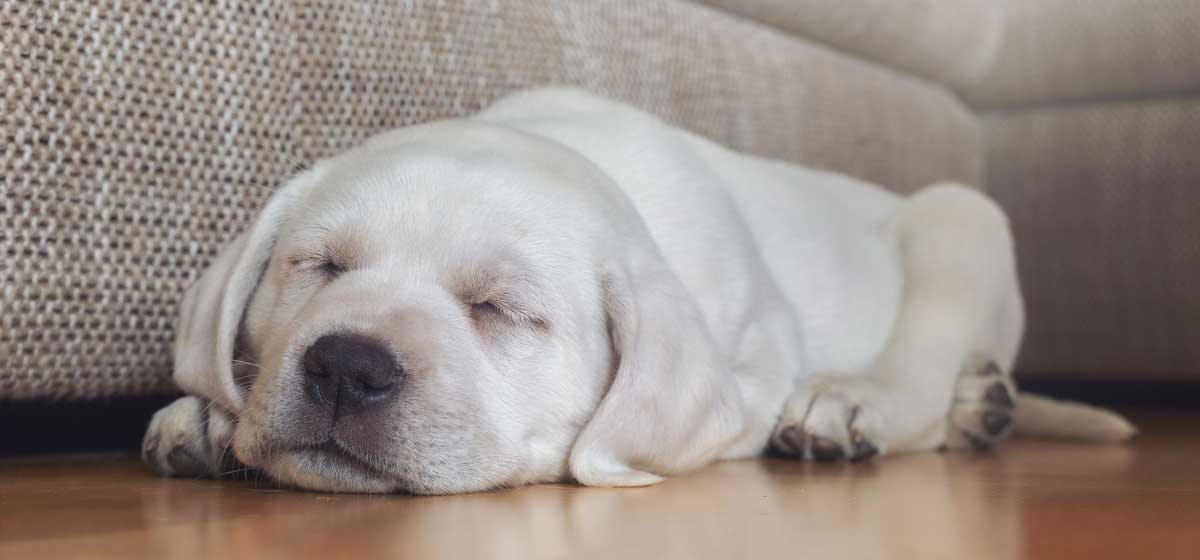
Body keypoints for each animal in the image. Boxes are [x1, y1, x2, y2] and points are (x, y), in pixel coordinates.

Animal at [140, 85, 1132, 494]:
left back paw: (868, 402)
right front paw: (207, 417)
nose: (347, 366)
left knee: (921, 376)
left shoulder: (756, 356)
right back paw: (982, 404)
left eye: (498, 309)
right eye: (320, 267)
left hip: (962, 220)